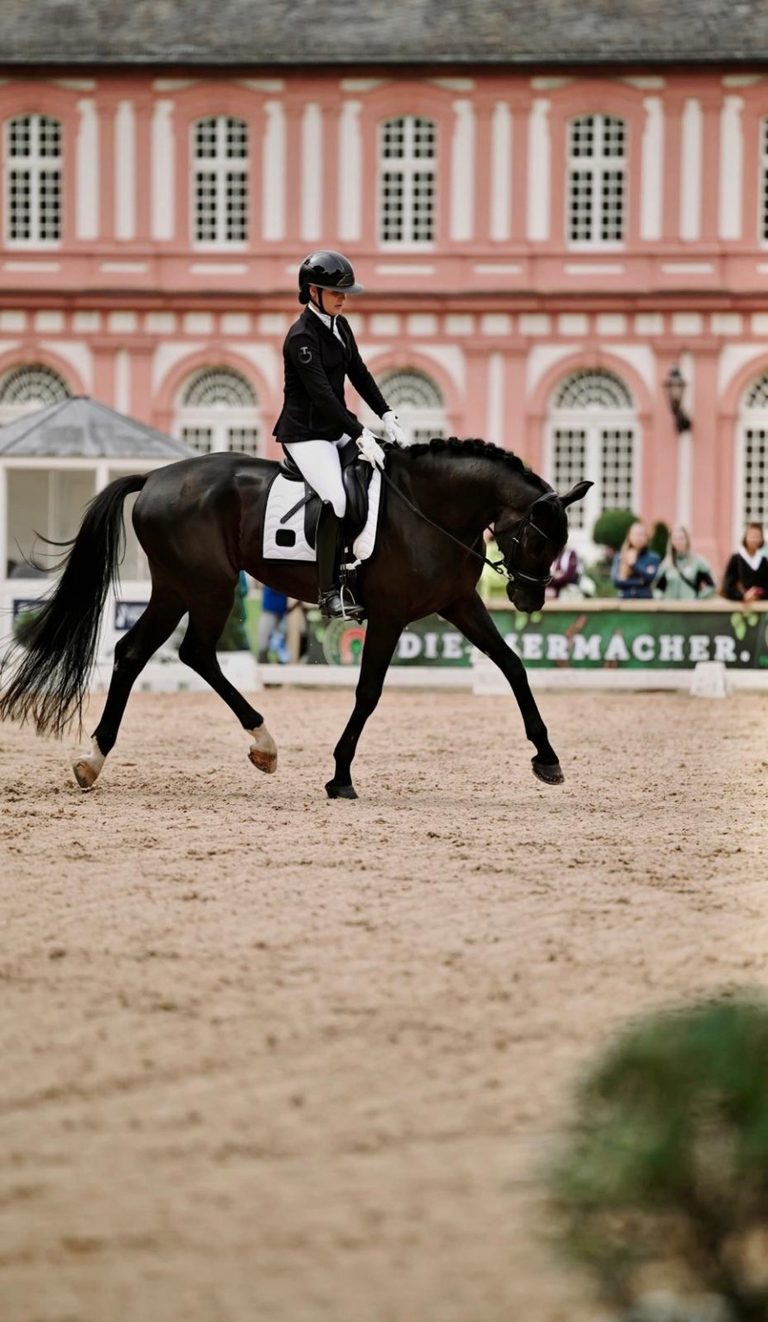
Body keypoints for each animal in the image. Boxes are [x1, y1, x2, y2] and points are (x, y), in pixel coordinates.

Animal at [0, 438, 591, 799]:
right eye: (540, 540)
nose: (529, 600)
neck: (430, 509)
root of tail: (155, 477)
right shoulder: (390, 616)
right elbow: (368, 693)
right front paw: (340, 775)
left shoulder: (459, 604)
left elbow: (512, 666)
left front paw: (547, 758)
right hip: (208, 586)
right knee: (192, 652)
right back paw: (260, 744)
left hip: (176, 587)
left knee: (138, 652)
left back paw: (94, 759)